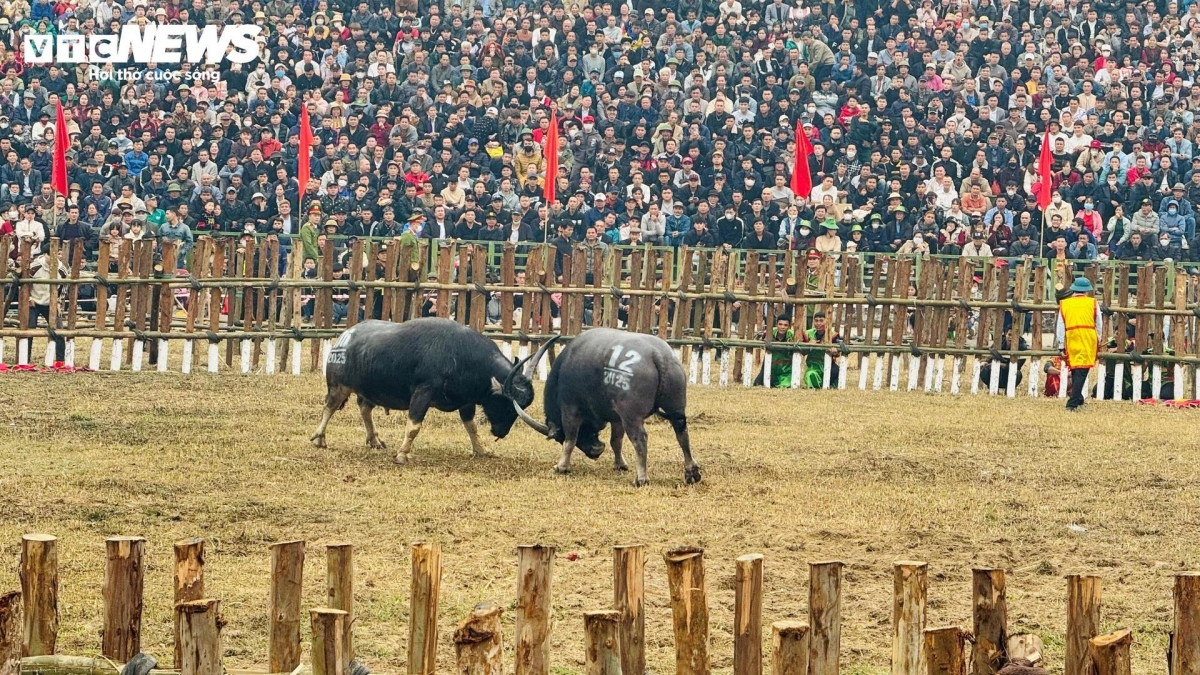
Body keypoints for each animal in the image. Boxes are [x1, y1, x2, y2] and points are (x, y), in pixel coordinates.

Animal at [309, 317, 552, 458]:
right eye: (505, 404)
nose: (501, 432)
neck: (460, 357)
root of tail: (344, 336)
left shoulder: (466, 401)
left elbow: (471, 426)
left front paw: (482, 450)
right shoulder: (422, 392)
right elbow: (414, 426)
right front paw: (403, 454)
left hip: (369, 391)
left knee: (364, 409)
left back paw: (375, 440)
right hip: (338, 385)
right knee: (329, 407)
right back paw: (320, 438)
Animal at [511, 326, 700, 480]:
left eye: (559, 438)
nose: (595, 452)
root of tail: (658, 355)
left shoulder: (570, 408)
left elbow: (571, 440)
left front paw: (561, 466)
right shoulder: (617, 417)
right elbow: (616, 441)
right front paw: (620, 464)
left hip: (632, 416)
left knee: (640, 439)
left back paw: (641, 478)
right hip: (676, 408)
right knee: (682, 433)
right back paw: (692, 472)